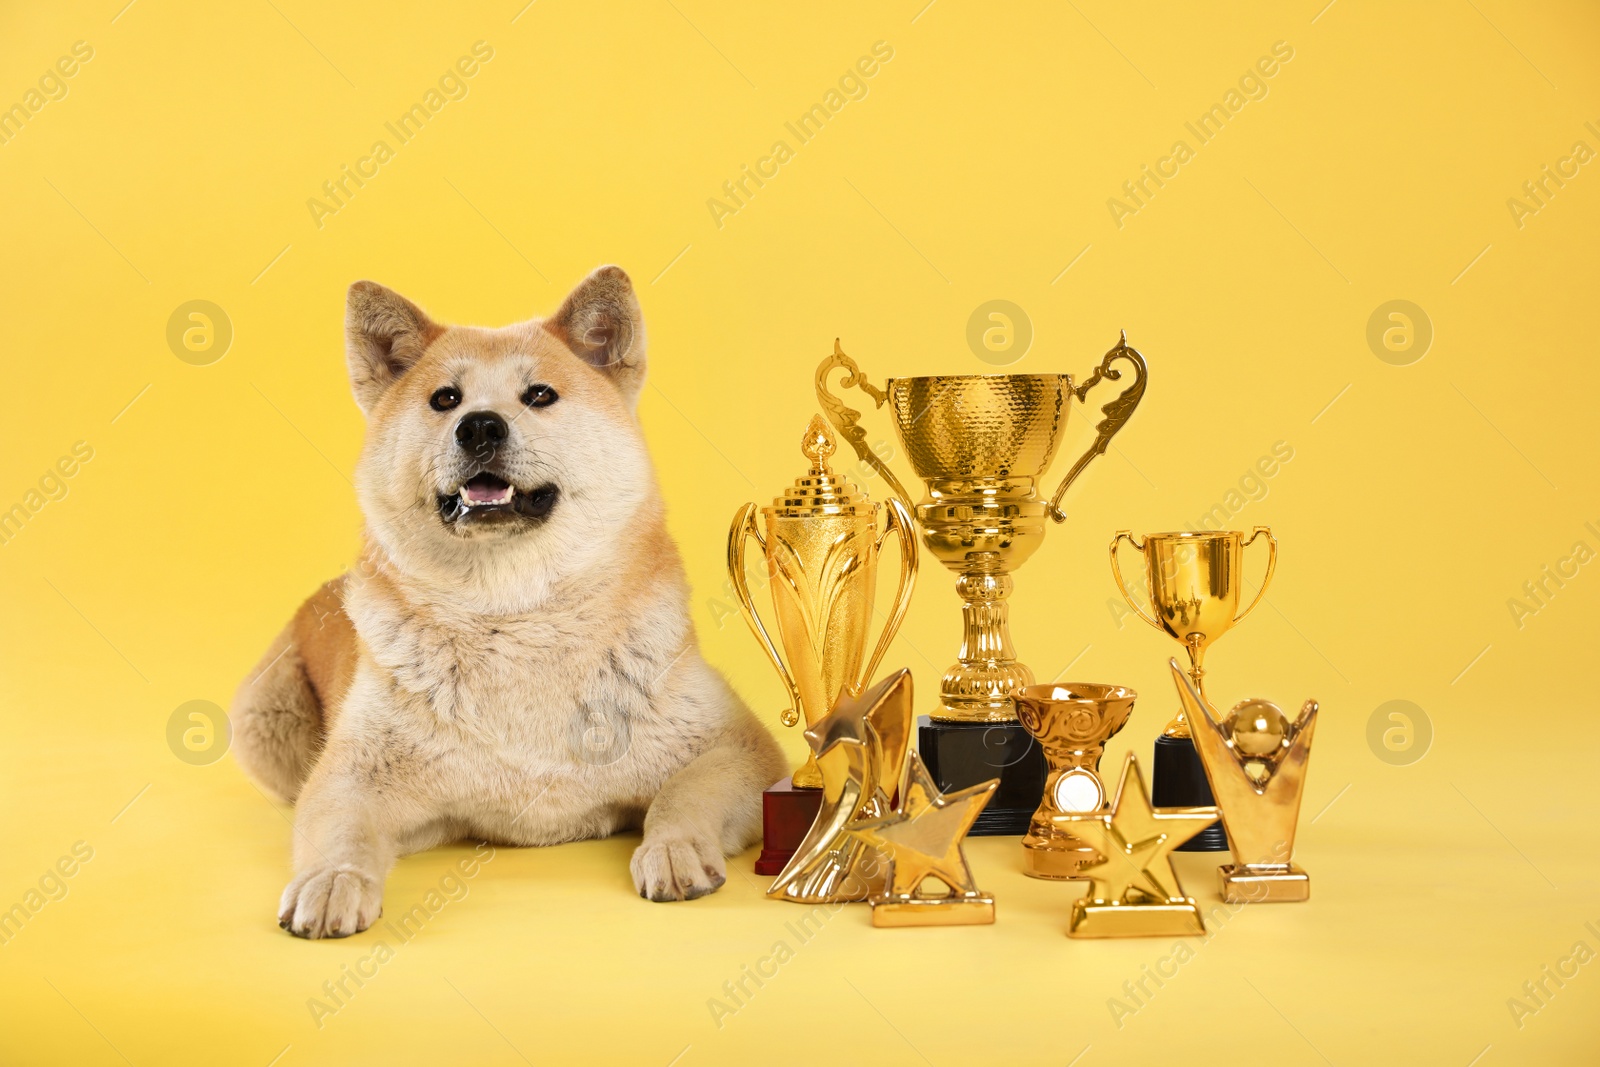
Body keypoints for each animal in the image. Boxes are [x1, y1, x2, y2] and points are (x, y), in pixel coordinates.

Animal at [233, 268, 787, 940]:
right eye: (444, 399)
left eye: (540, 394)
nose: (479, 426)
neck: (516, 616)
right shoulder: (349, 774)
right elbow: (342, 832)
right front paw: (334, 881)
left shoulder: (741, 748)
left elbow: (684, 795)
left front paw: (674, 847)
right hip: (261, 719)